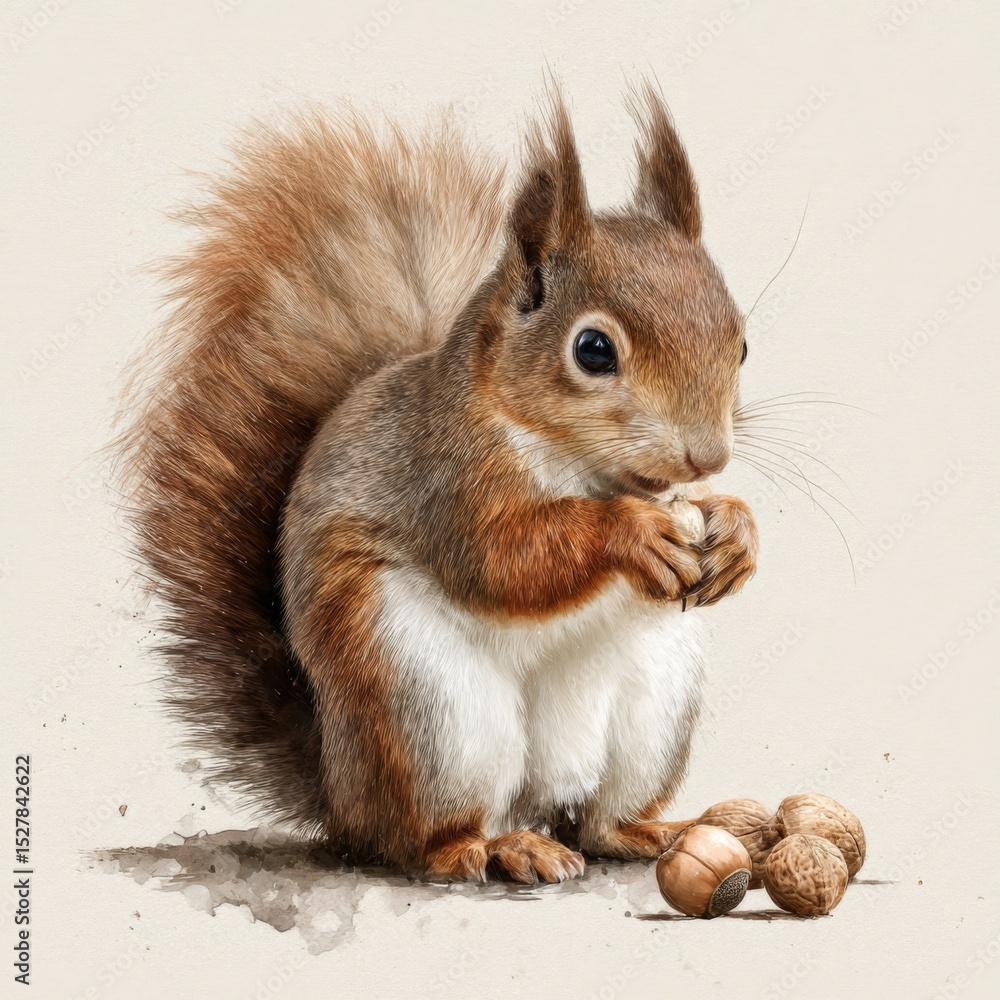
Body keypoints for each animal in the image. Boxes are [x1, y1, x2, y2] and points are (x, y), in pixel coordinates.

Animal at [116, 85, 758, 883]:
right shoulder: (446, 479)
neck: (589, 468)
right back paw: (496, 848)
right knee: (425, 839)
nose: (707, 458)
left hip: (653, 704)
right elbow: (501, 560)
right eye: (593, 349)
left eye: (742, 343)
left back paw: (651, 832)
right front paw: (631, 532)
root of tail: (342, 797)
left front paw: (736, 530)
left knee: (598, 823)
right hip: (427, 705)